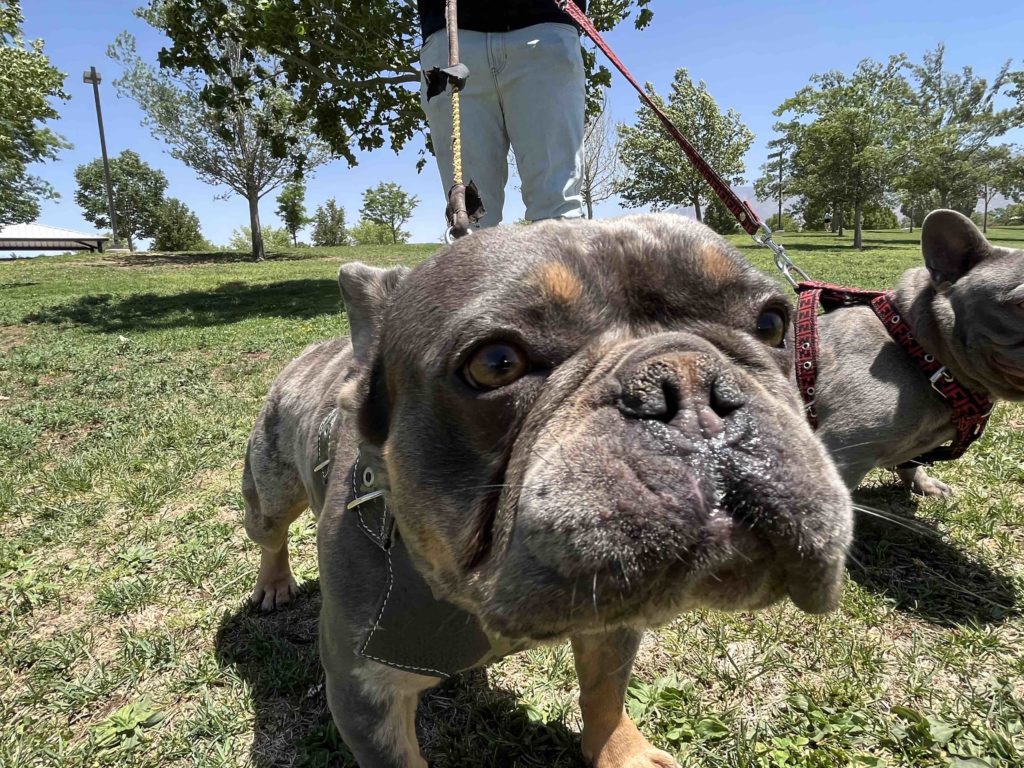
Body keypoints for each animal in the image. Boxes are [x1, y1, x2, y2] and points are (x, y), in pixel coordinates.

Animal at [242, 214, 853, 768]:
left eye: (772, 324)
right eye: (495, 363)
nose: (688, 384)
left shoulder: (614, 626)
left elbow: (605, 694)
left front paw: (621, 753)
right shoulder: (365, 695)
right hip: (266, 493)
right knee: (270, 534)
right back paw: (274, 583)